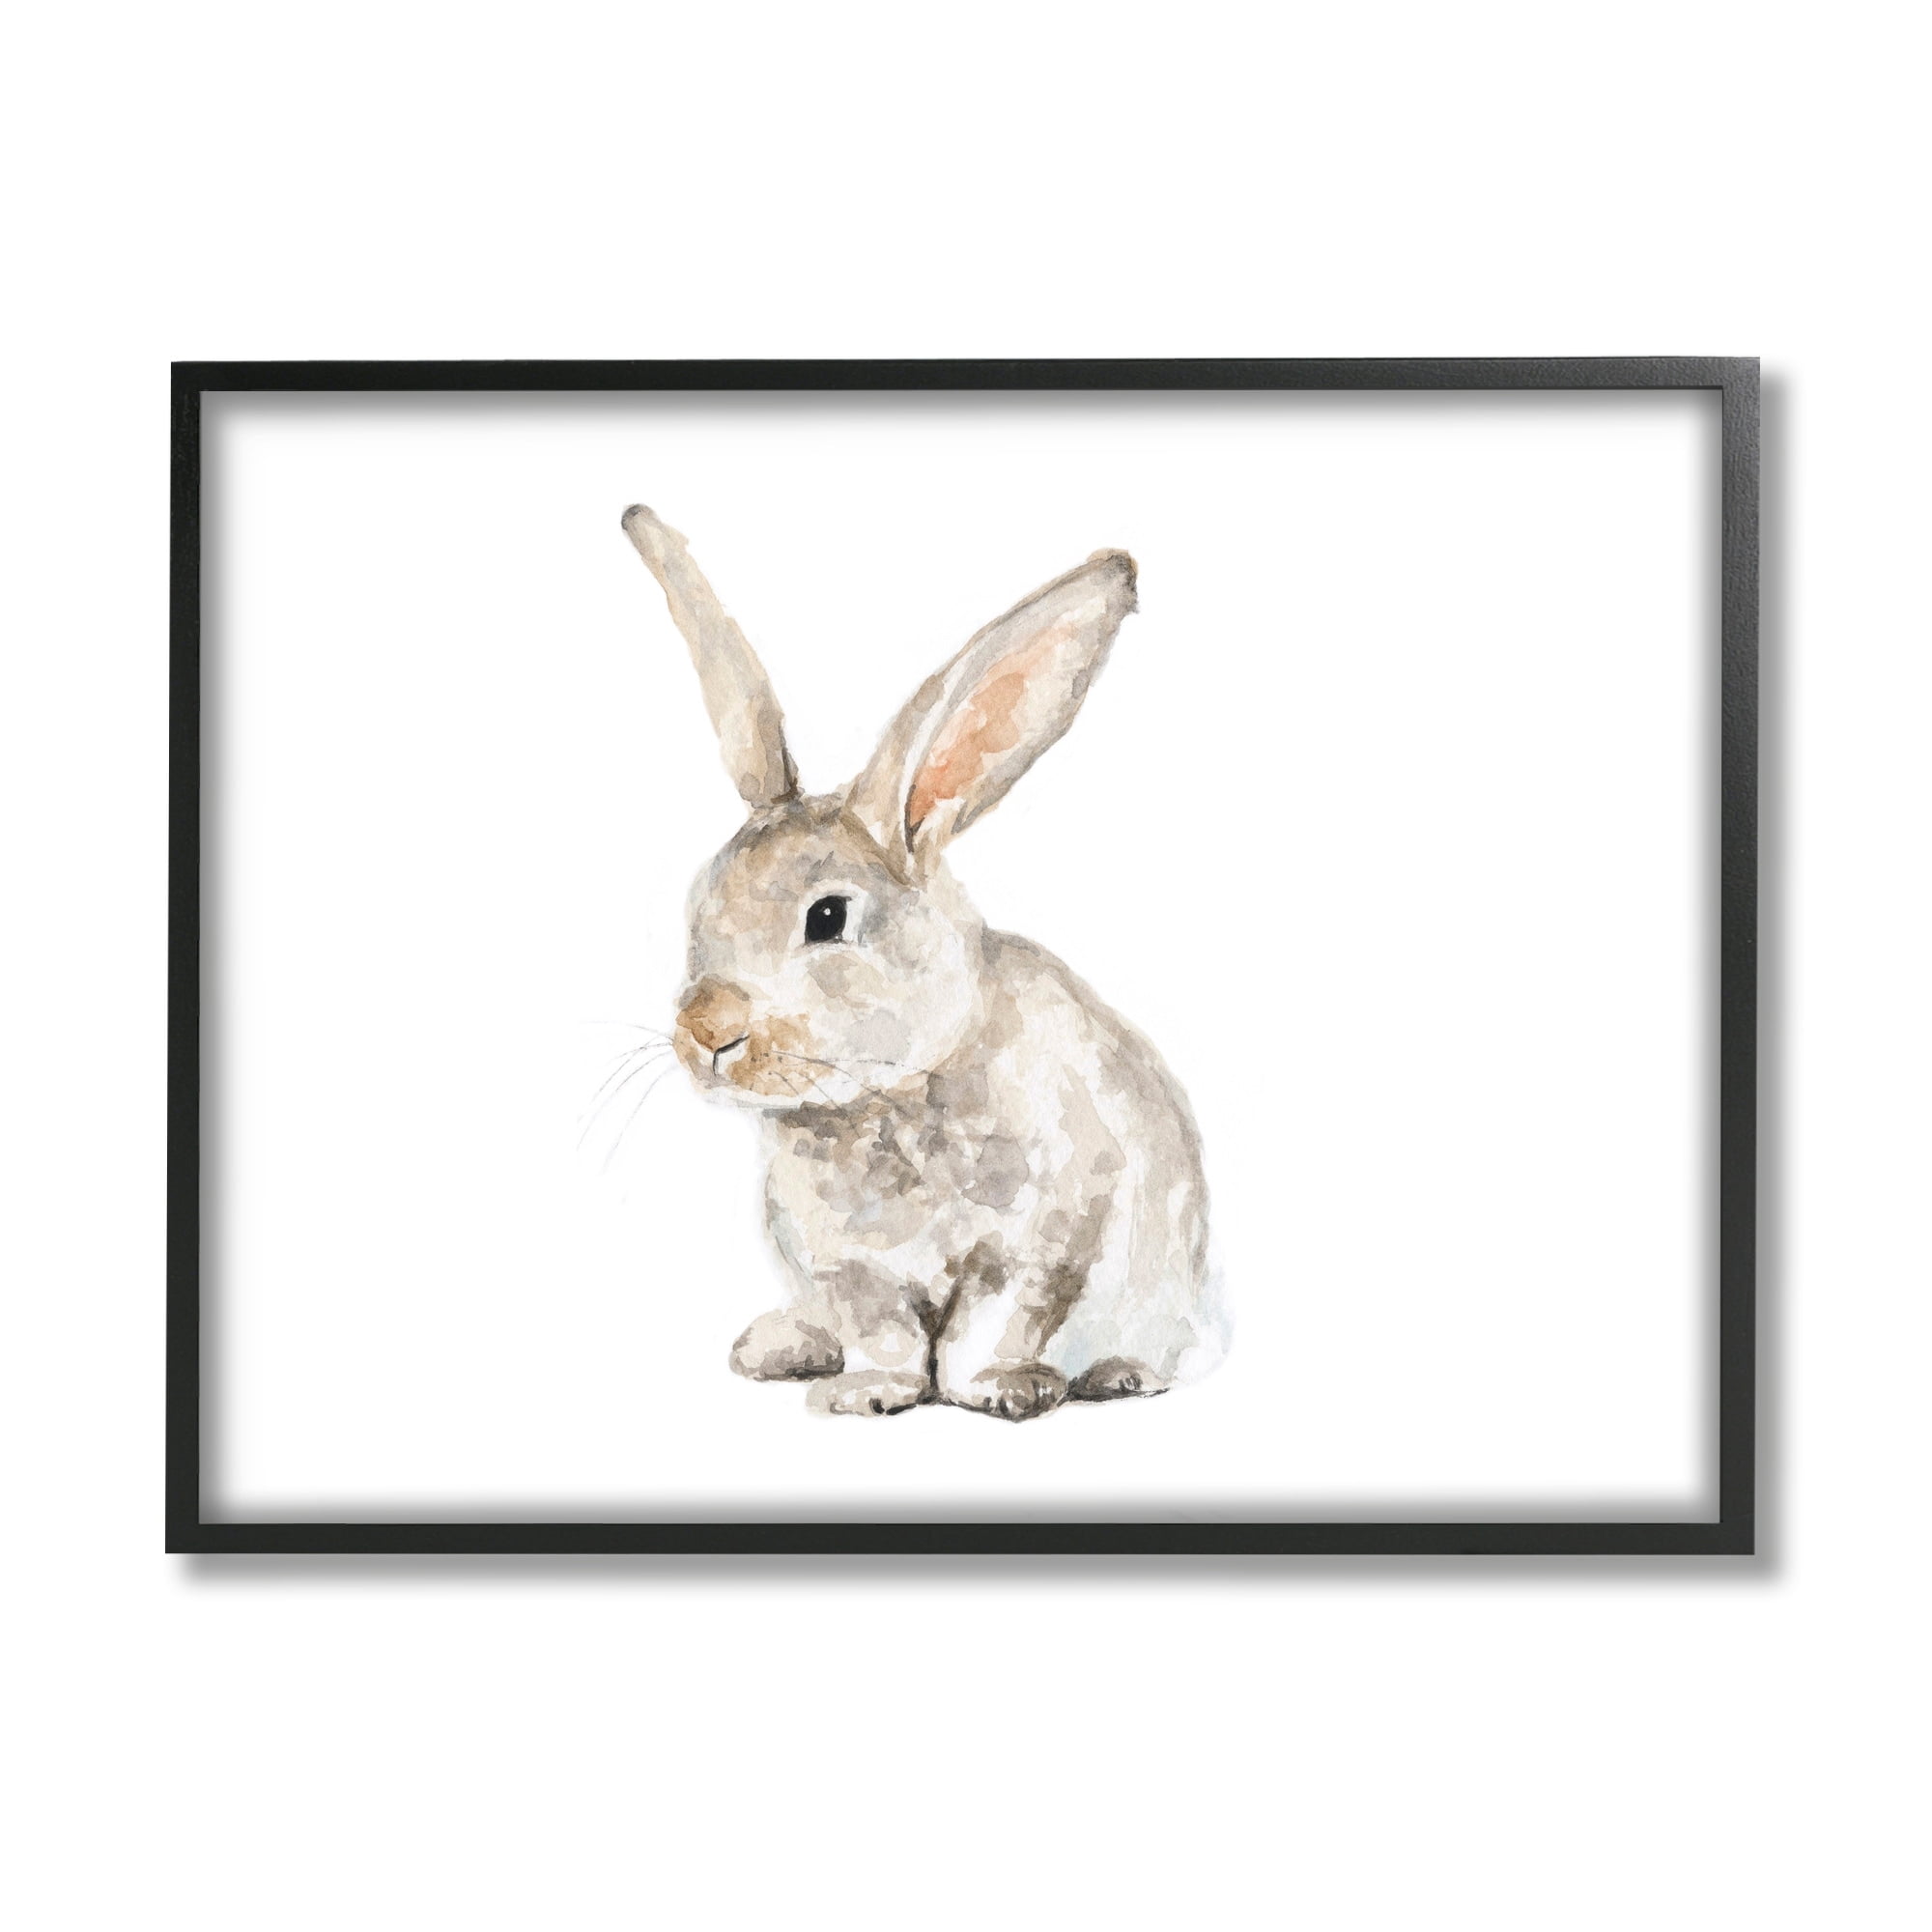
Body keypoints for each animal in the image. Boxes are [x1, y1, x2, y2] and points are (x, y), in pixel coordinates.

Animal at [622, 504, 1222, 1421]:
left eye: (828, 917)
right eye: (699, 907)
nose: (705, 1030)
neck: (885, 1098)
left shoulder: (1042, 1242)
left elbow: (989, 1328)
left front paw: (1006, 1393)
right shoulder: (846, 1269)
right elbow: (887, 1337)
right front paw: (867, 1394)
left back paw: (1121, 1375)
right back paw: (776, 1347)